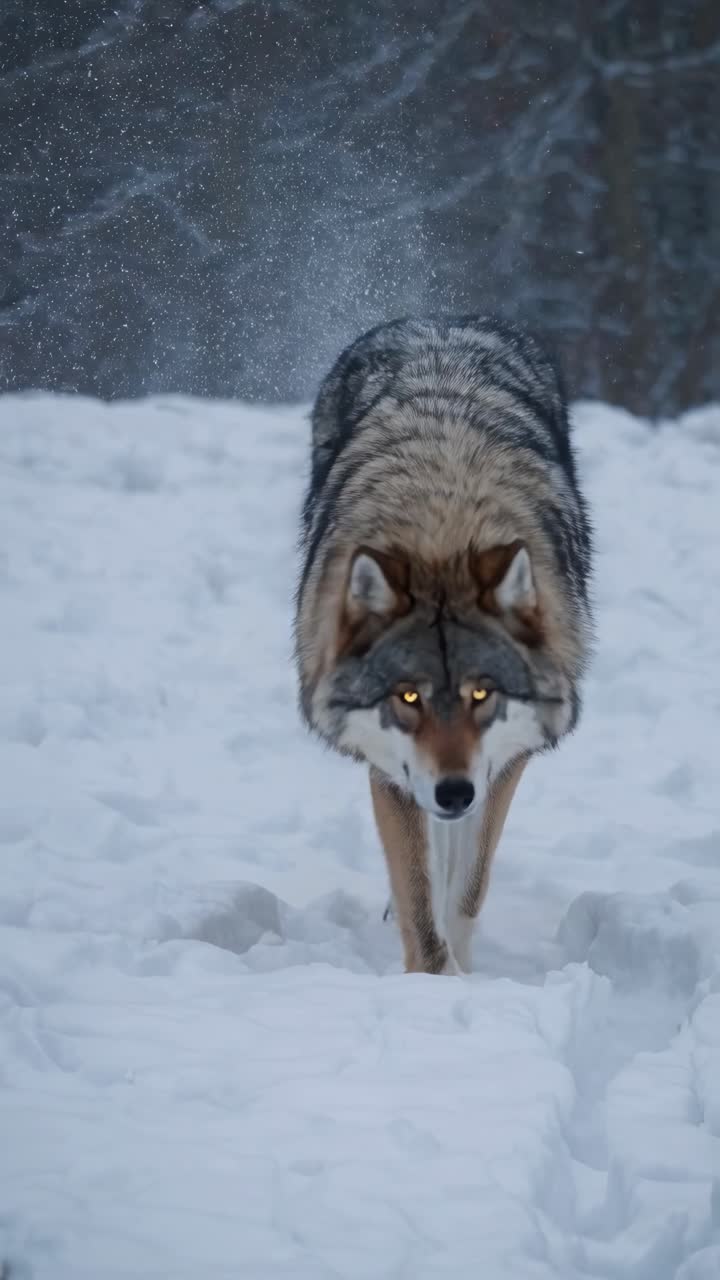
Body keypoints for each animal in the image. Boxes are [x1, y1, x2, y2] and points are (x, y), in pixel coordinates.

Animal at [295, 315, 592, 975]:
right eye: (407, 697)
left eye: (483, 693)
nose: (453, 792)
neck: (443, 526)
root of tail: (438, 321)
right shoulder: (393, 770)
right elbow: (421, 904)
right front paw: (437, 982)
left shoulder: (503, 760)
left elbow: (467, 887)